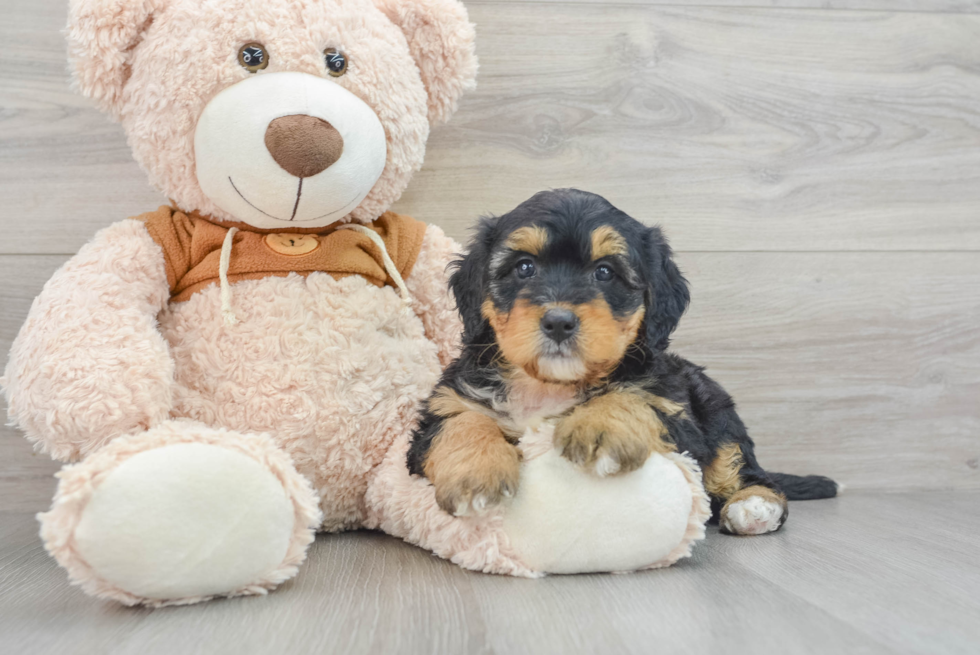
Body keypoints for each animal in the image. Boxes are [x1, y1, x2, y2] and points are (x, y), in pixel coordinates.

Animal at [406, 188, 836, 532]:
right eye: (524, 267)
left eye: (604, 272)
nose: (558, 321)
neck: (548, 384)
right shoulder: (443, 406)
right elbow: (463, 420)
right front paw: (475, 473)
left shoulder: (676, 411)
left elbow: (634, 396)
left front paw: (600, 427)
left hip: (715, 409)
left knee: (741, 465)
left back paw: (755, 506)